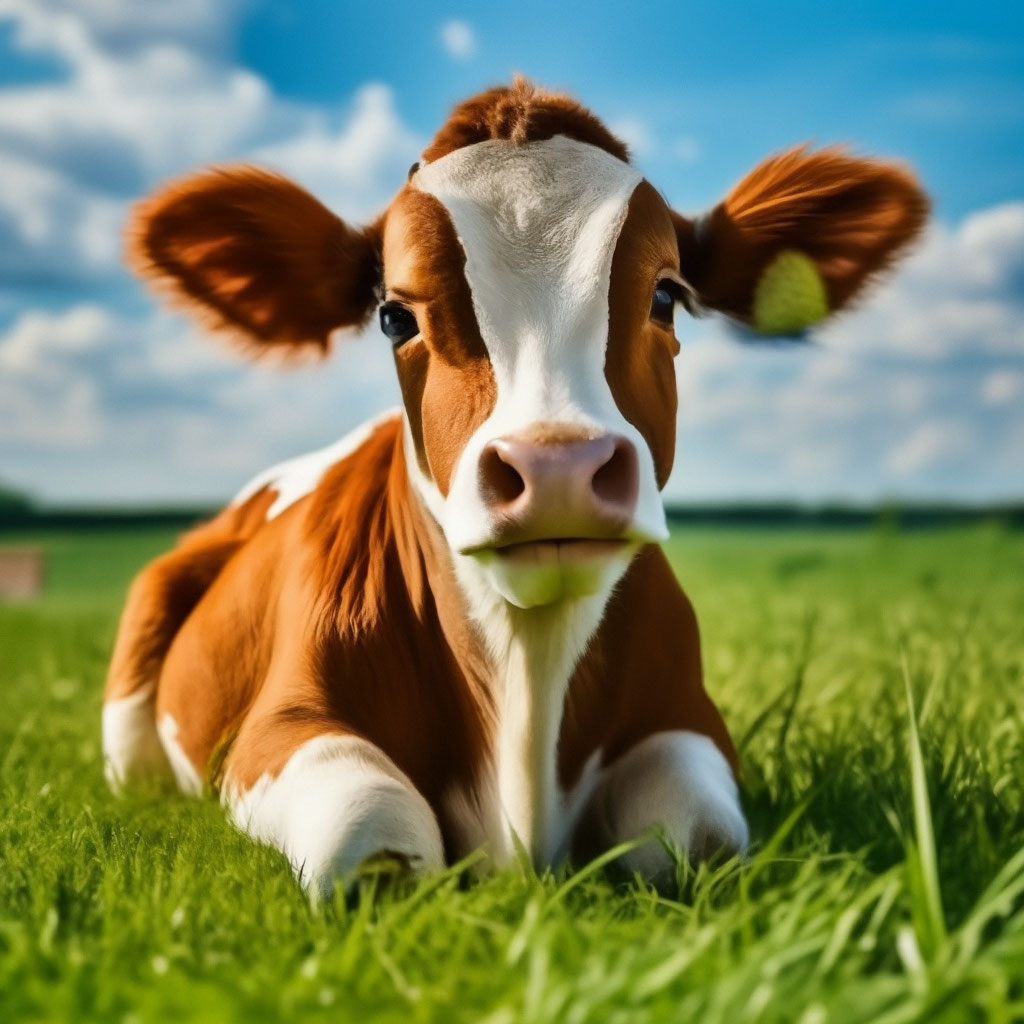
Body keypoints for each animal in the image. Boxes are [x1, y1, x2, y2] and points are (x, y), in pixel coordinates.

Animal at [103, 79, 927, 897]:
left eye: (665, 296)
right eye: (394, 316)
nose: (556, 467)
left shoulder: (689, 719)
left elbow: (698, 837)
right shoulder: (279, 727)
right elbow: (368, 836)